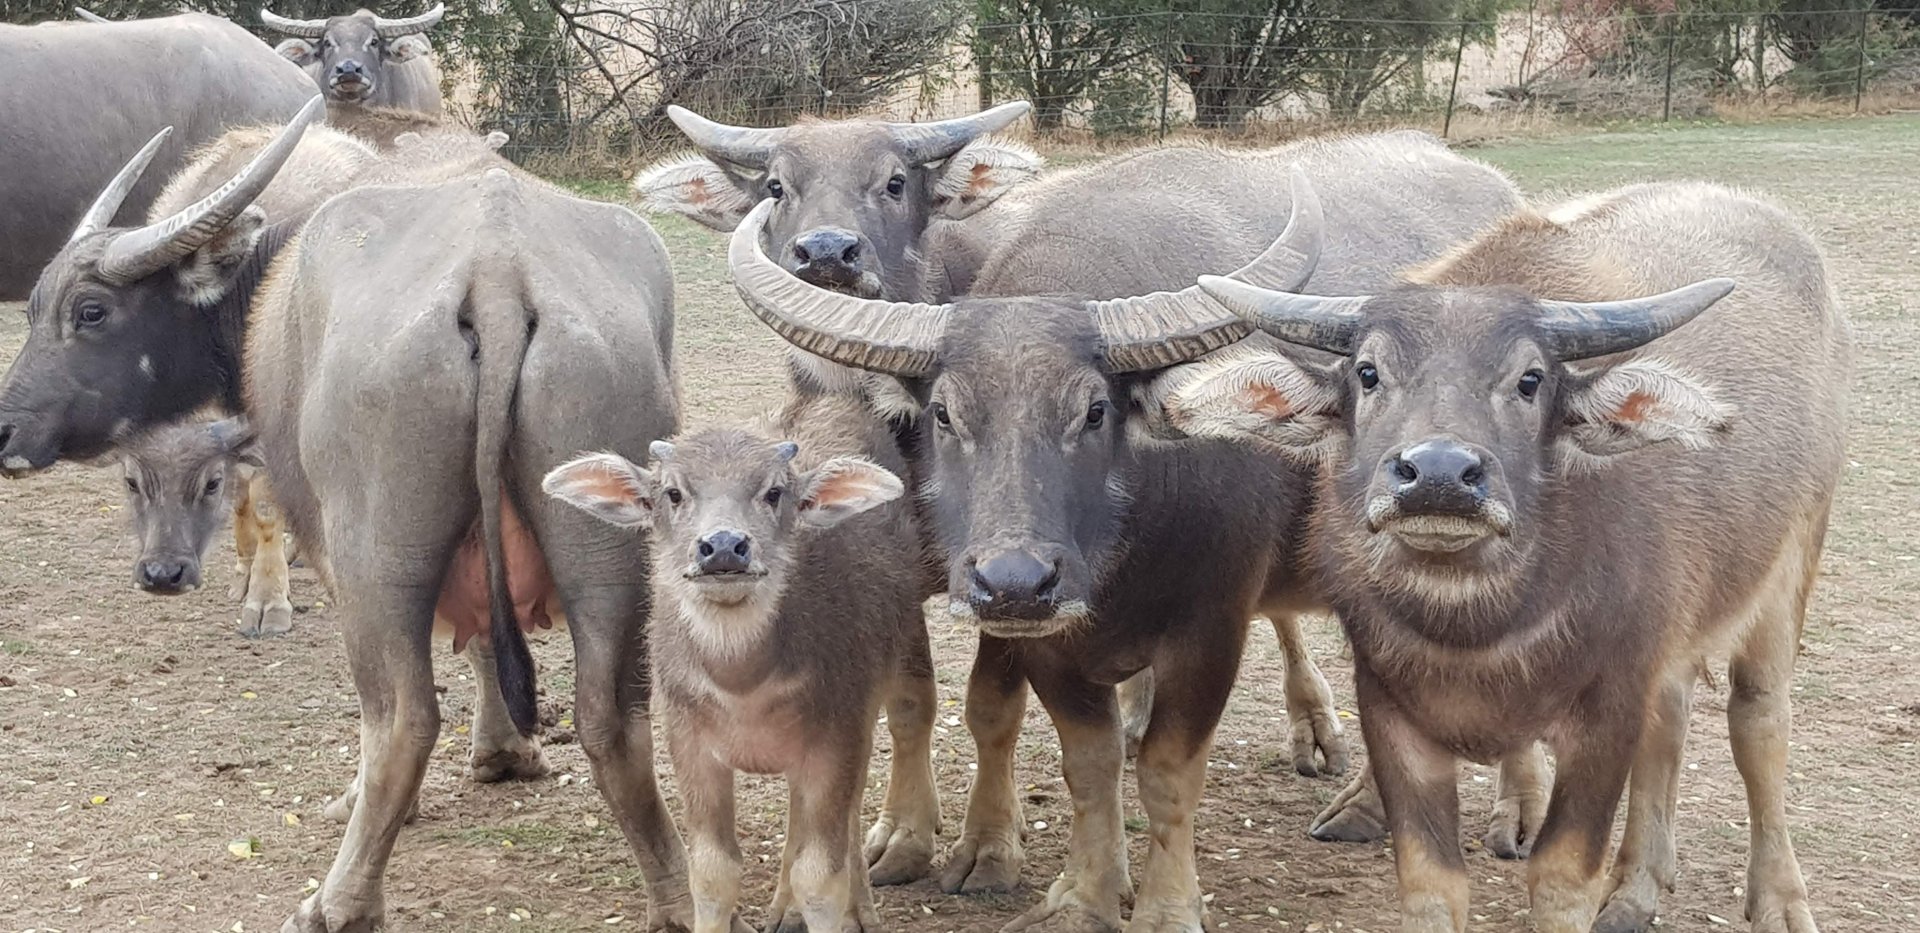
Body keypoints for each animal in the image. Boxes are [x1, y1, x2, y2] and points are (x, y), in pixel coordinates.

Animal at [544, 390, 938, 930]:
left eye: (774, 493)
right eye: (672, 493)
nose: (724, 547)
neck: (743, 686)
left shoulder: (837, 736)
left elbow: (820, 876)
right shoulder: (690, 744)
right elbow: (713, 873)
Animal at [1159, 181, 1848, 933]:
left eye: (1530, 380)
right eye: (1368, 373)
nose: (1437, 474)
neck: (1477, 629)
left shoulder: (1607, 711)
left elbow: (1561, 877)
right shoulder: (1392, 712)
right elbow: (1430, 881)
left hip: (1794, 560)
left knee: (1760, 723)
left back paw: (1779, 899)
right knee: (1670, 718)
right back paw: (1637, 886)